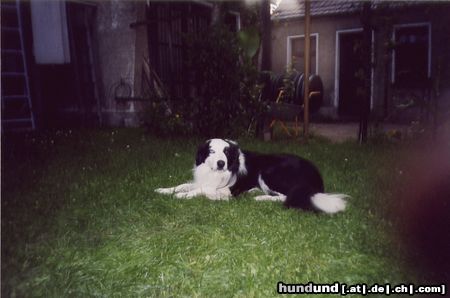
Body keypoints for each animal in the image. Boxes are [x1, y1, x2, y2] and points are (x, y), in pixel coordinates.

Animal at [156, 139, 348, 213]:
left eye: (226, 152)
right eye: (211, 151)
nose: (221, 163)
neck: (214, 173)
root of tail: (316, 175)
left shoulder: (226, 191)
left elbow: (199, 191)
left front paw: (182, 196)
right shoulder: (203, 181)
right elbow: (183, 185)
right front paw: (164, 190)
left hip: (269, 172)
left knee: (286, 196)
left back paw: (261, 198)